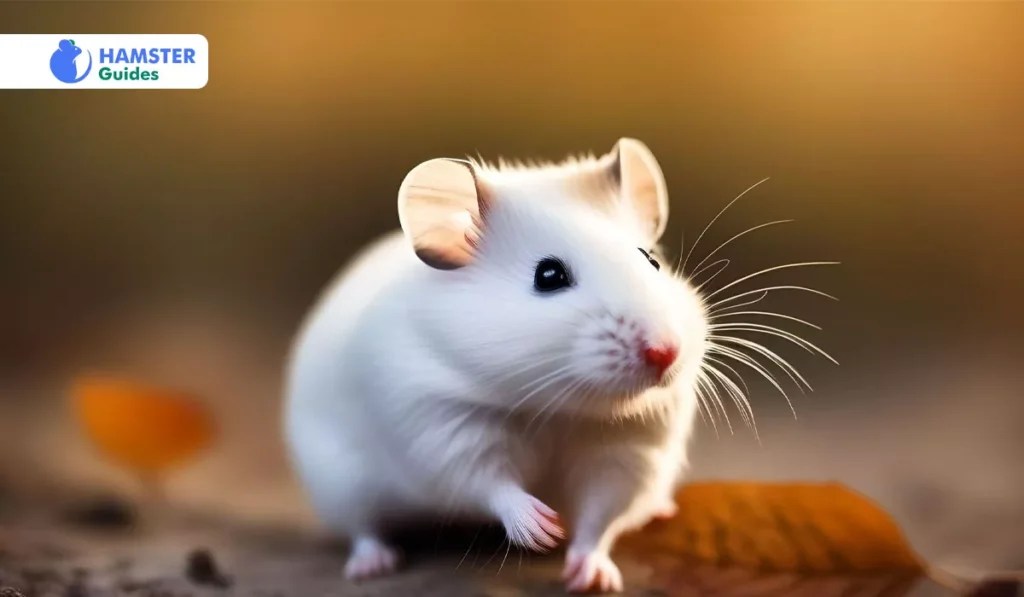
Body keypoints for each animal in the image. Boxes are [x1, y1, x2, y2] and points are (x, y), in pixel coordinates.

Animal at [284, 138, 708, 593]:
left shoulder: (629, 452)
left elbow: (599, 519)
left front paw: (592, 577)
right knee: (363, 528)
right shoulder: (440, 427)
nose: (665, 353)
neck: (558, 408)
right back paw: (372, 565)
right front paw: (542, 529)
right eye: (549, 276)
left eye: (652, 261)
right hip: (340, 484)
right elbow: (490, 483)